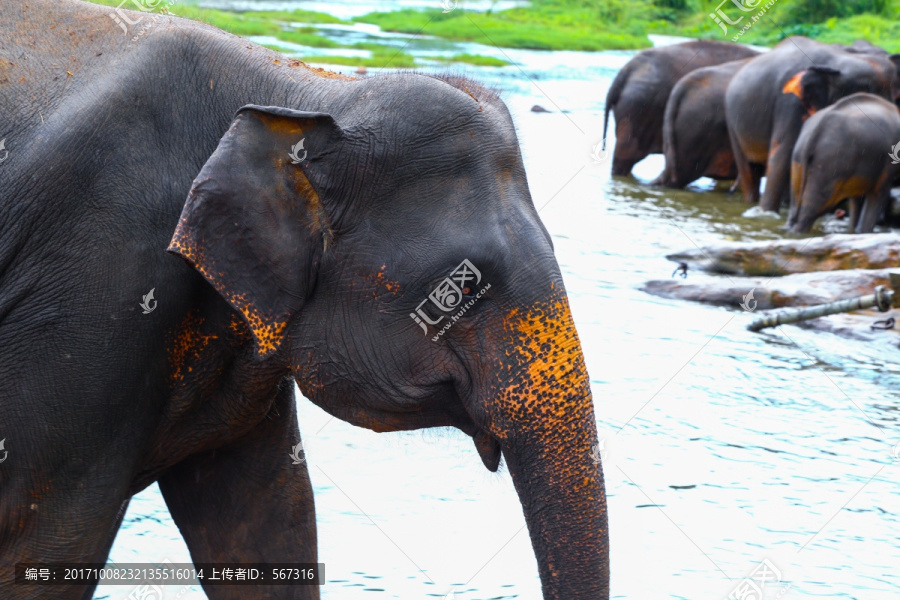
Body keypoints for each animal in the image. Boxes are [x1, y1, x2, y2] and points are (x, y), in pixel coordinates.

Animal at [724, 35, 900, 213]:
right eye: (867, 93)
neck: (841, 59)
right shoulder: (790, 102)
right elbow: (782, 151)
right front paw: (766, 213)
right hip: (732, 122)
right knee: (749, 170)